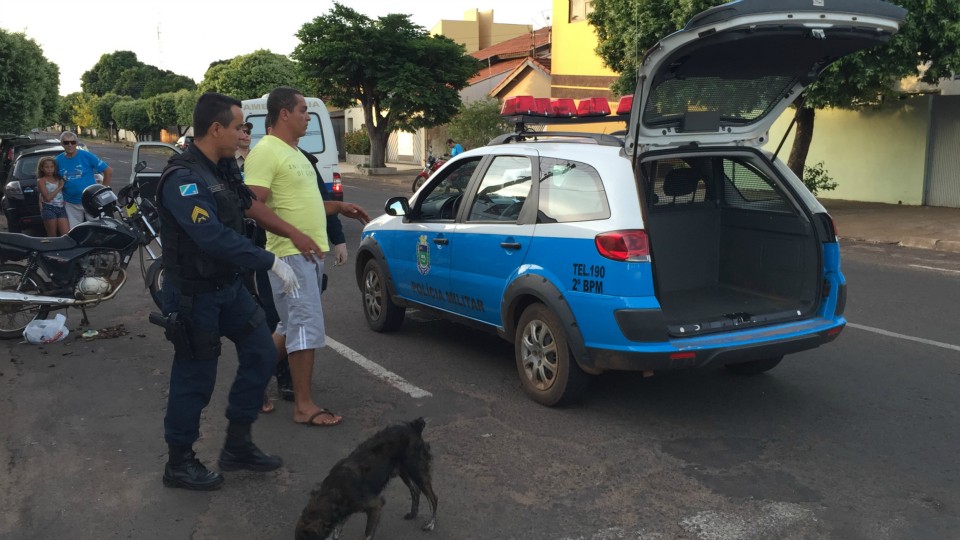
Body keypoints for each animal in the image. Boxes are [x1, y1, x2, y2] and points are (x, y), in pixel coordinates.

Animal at [294, 416, 440, 536]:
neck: (333, 492)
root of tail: (413, 426)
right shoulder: (343, 514)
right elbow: (336, 530)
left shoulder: (376, 505)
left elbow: (367, 533)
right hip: (404, 472)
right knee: (415, 491)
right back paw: (413, 513)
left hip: (418, 472)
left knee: (433, 498)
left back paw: (430, 524)